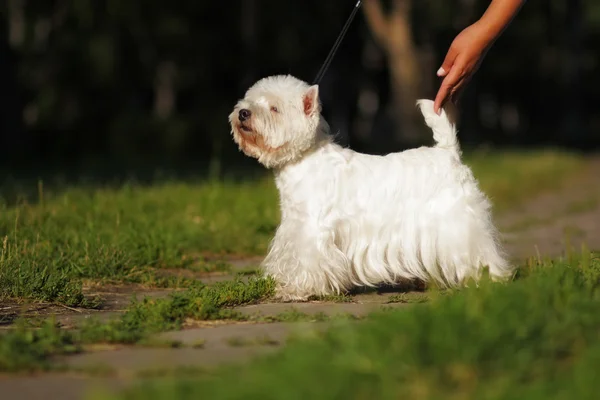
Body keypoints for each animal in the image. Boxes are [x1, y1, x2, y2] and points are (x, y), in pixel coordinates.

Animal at [227, 74, 512, 300]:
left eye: (274, 108)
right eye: (249, 101)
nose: (243, 113)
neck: (303, 160)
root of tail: (449, 152)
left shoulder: (312, 231)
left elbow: (309, 263)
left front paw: (297, 291)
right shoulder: (294, 227)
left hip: (458, 221)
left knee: (478, 251)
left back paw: (490, 279)